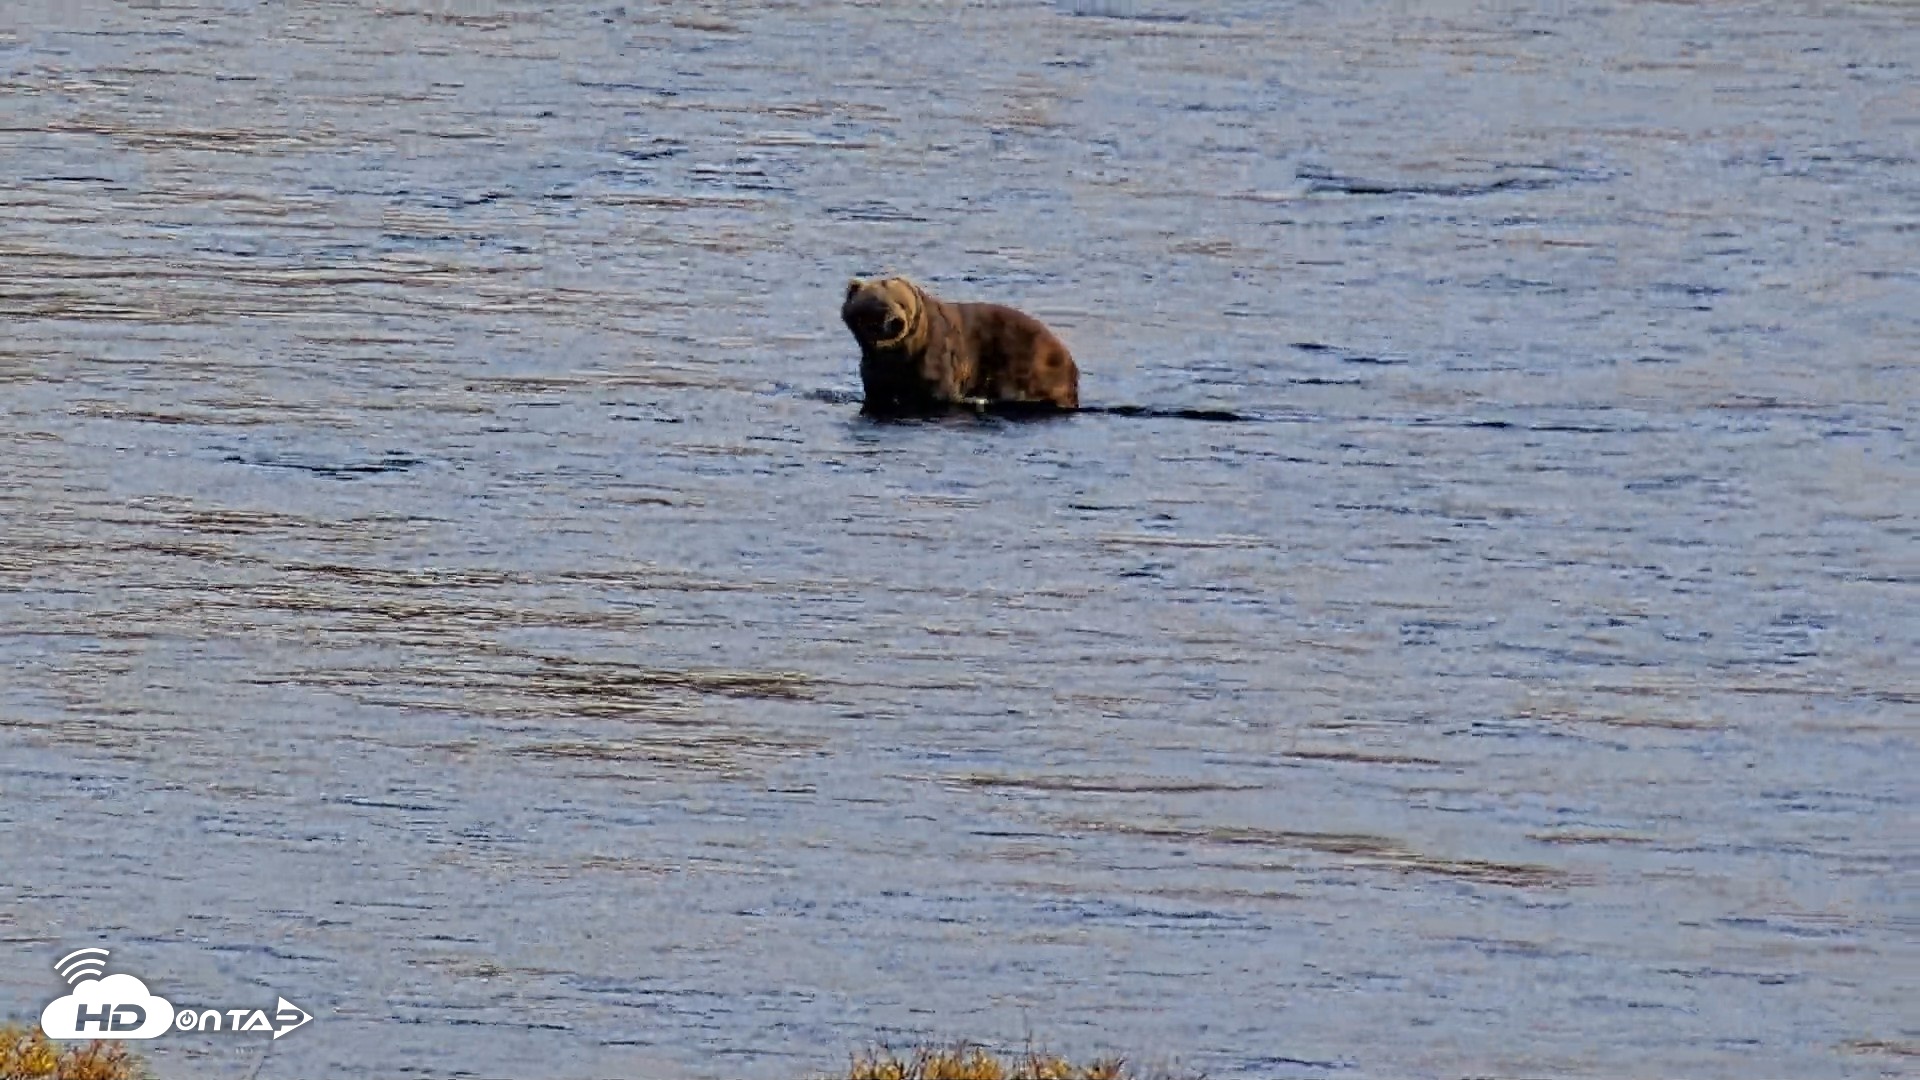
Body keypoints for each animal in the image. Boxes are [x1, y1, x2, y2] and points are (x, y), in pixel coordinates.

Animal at [840, 275, 1080, 417]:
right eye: (880, 305)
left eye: (904, 304)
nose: (898, 322)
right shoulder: (876, 369)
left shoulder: (935, 356)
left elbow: (939, 392)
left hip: (1030, 364)